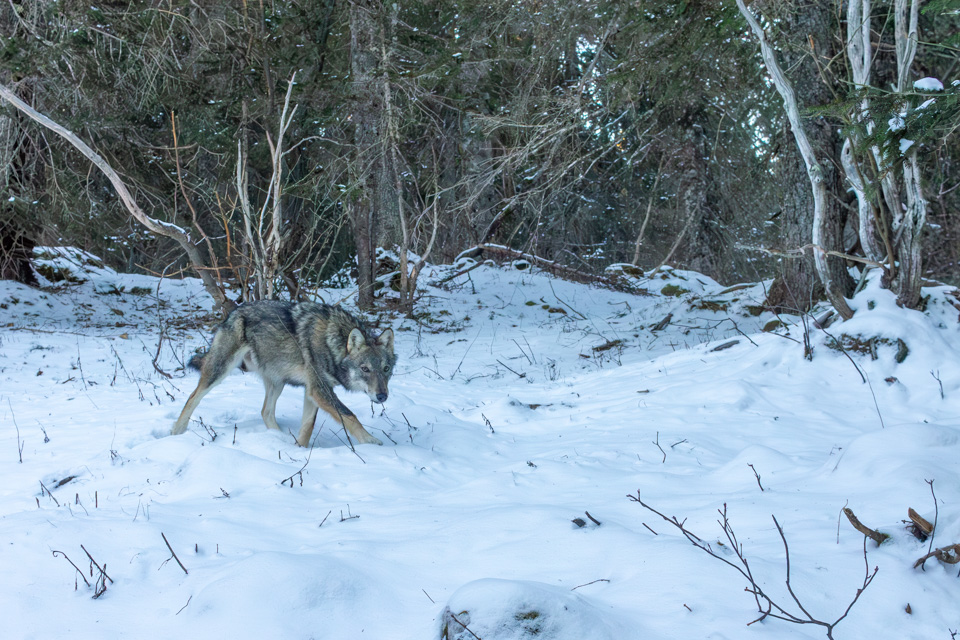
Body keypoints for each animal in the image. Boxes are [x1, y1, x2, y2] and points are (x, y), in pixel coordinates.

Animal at [172, 300, 395, 447]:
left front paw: (299, 450)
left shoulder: (312, 391)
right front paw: (371, 442)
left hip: (277, 382)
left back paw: (279, 439)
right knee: (192, 397)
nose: (382, 396)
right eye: (365, 369)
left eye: (386, 369)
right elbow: (350, 416)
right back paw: (176, 432)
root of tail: (233, 312)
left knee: (265, 411)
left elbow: (307, 426)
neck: (333, 343)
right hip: (220, 371)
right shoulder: (319, 390)